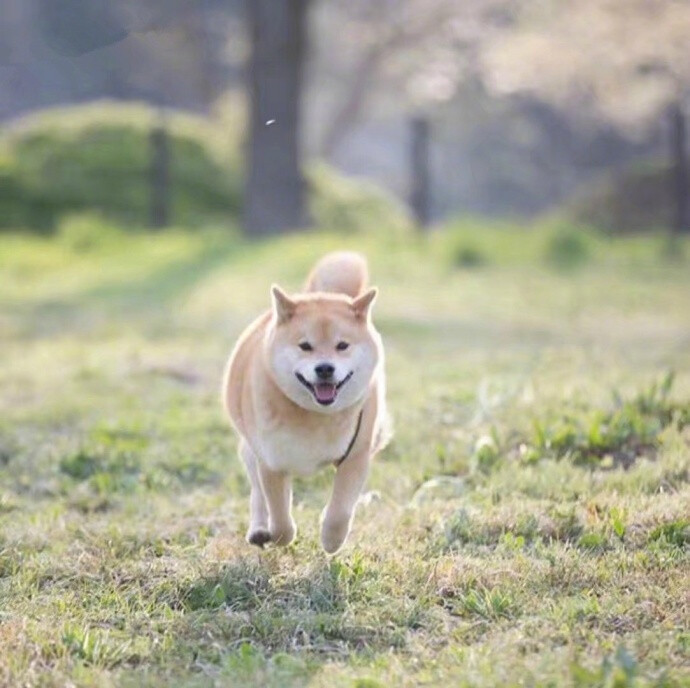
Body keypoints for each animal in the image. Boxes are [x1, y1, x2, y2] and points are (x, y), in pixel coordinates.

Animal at [224, 253, 390, 552]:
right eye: (305, 346)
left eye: (342, 345)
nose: (324, 368)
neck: (315, 416)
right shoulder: (272, 462)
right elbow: (279, 517)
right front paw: (281, 536)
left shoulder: (356, 455)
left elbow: (340, 510)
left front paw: (331, 538)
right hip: (251, 451)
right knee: (257, 493)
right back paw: (259, 529)